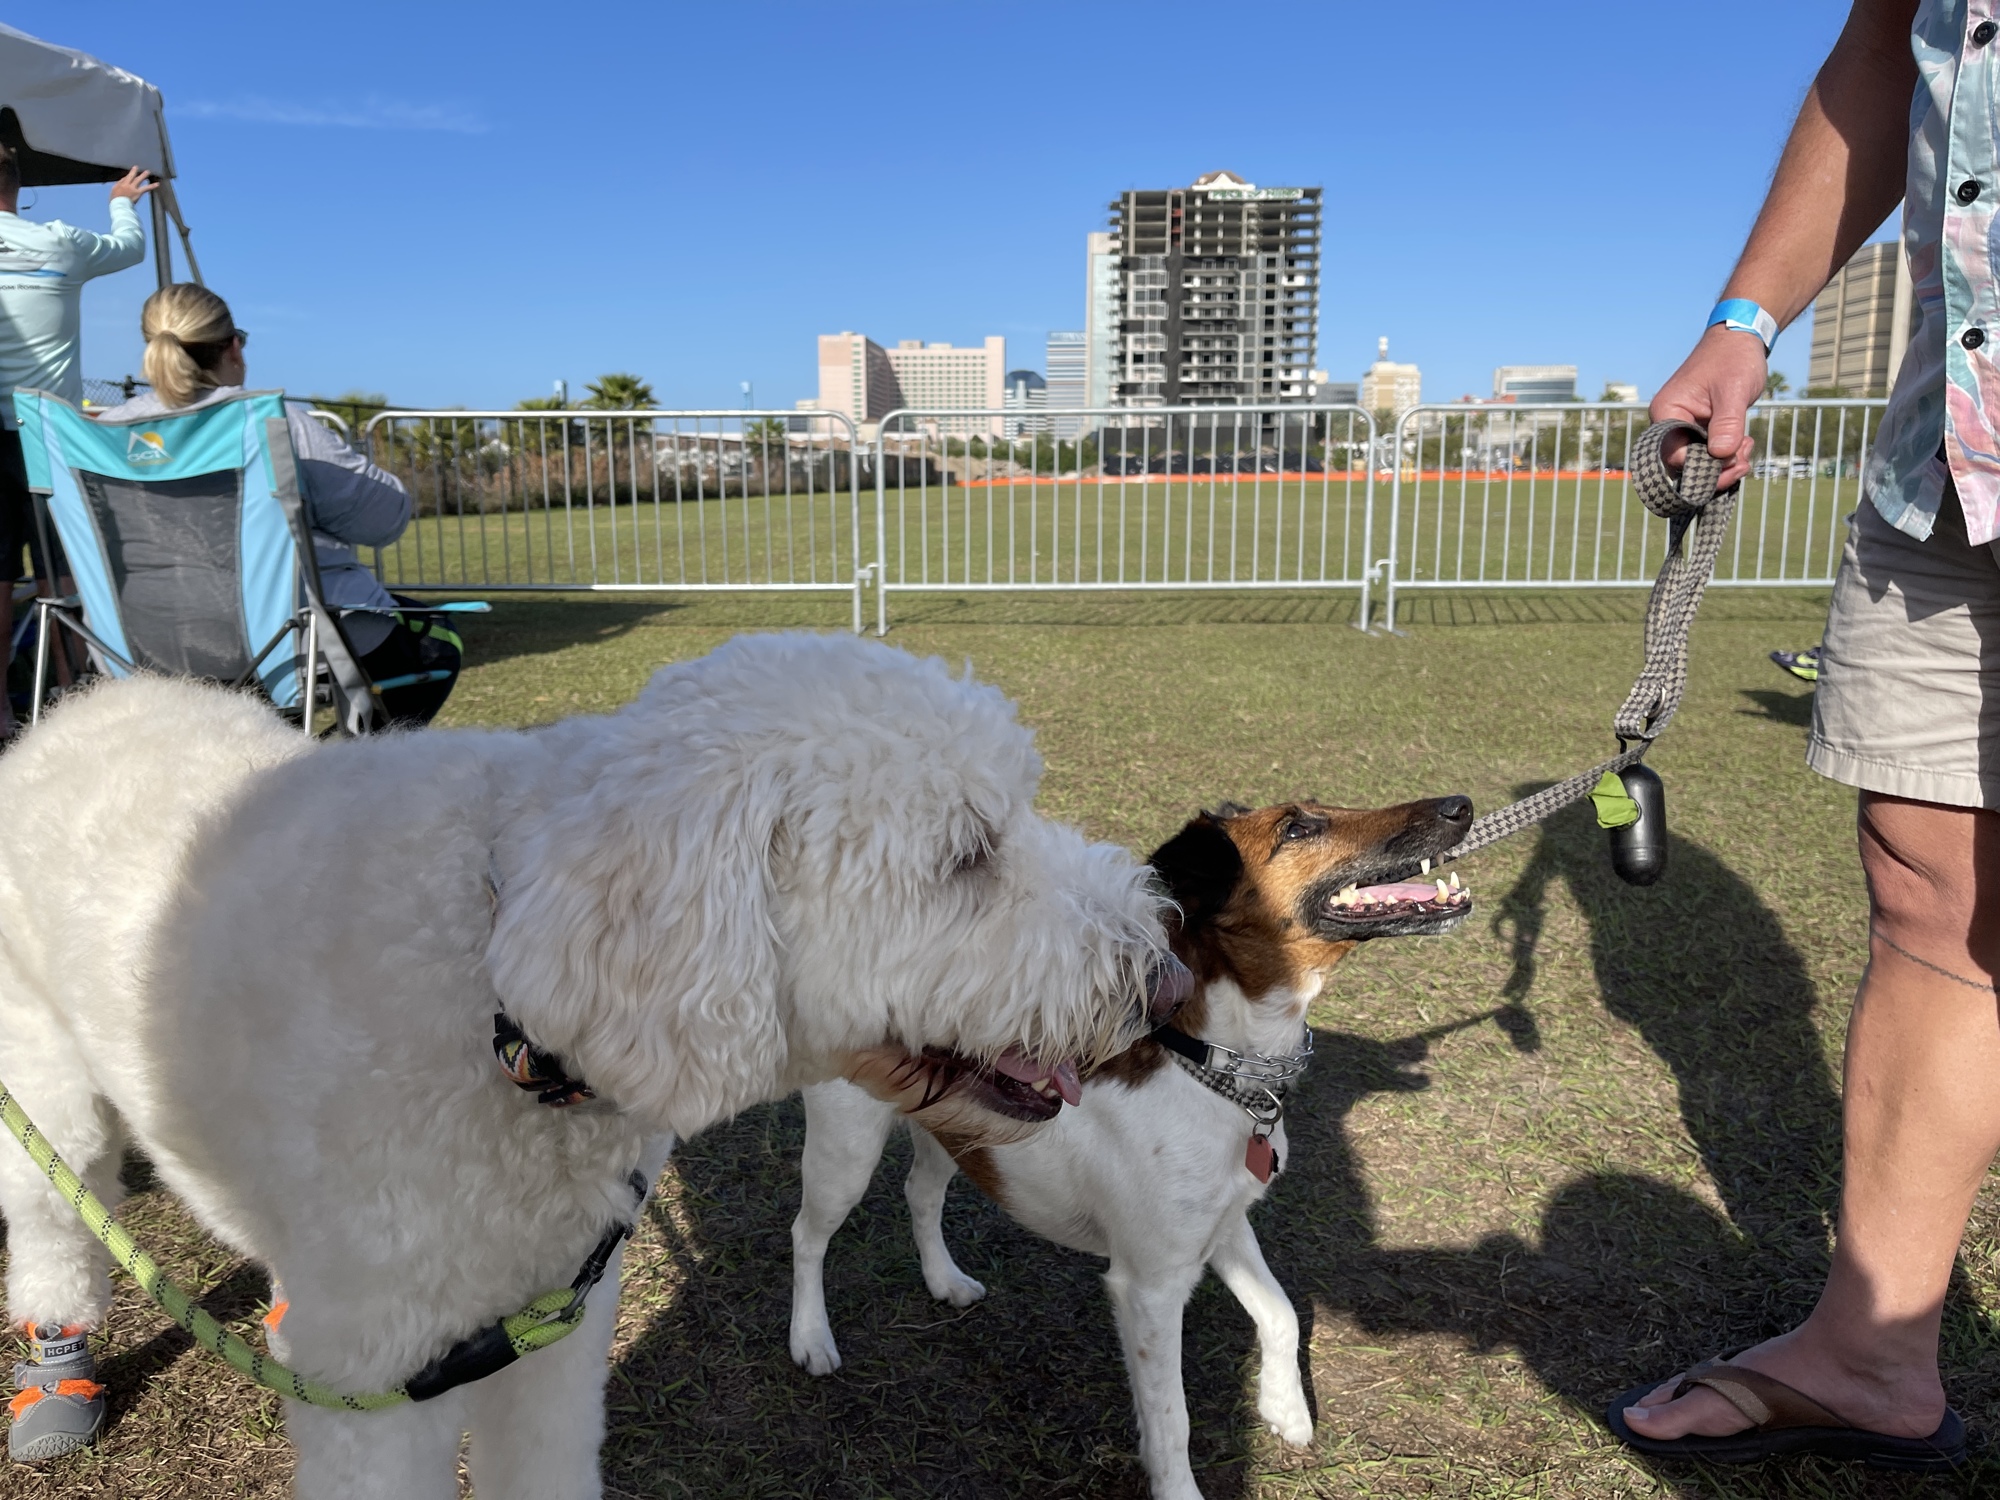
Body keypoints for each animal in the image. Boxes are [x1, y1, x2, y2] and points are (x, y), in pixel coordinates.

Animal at [0, 628, 1168, 1496]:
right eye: (968, 854)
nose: (1158, 978)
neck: (497, 998)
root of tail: (80, 706)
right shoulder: (378, 1395)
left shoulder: (549, 1339)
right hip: (43, 1091)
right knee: (55, 1220)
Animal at [788, 792, 1480, 1496]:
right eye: (1297, 828)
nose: (1460, 806)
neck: (1210, 1065)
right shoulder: (1150, 1286)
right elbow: (1171, 1420)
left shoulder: (1225, 1225)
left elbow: (1281, 1313)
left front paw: (1284, 1409)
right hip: (845, 1153)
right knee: (807, 1235)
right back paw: (811, 1338)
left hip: (961, 1131)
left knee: (921, 1194)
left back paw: (944, 1280)